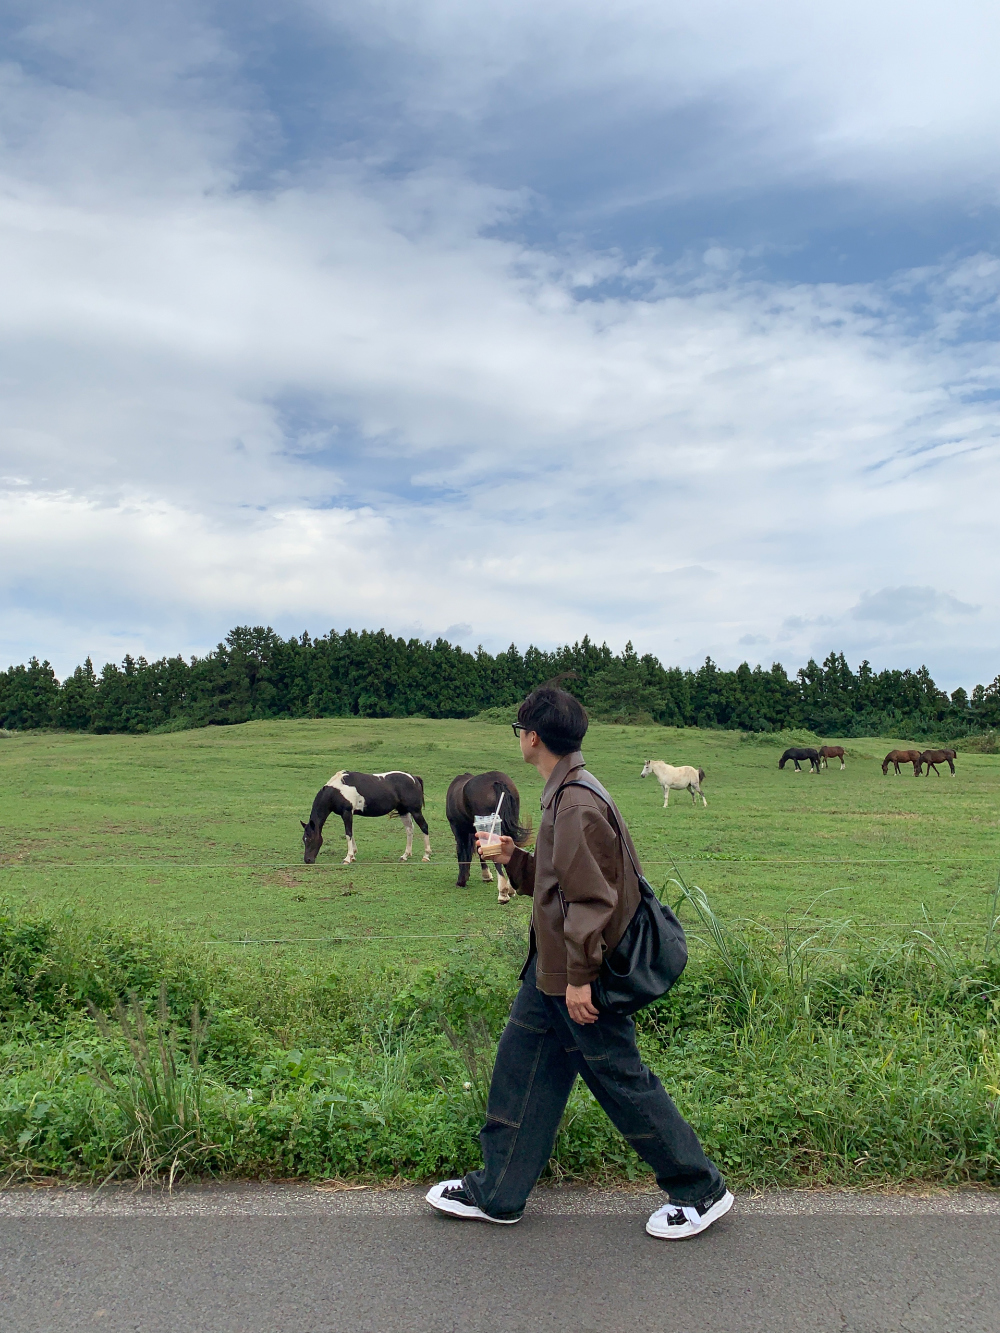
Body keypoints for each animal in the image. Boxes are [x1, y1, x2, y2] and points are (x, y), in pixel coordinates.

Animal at [304, 773, 432, 863]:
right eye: (303, 839)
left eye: (309, 839)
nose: (307, 860)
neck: (337, 790)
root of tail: (414, 778)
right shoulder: (348, 814)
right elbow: (351, 833)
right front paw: (353, 855)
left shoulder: (346, 813)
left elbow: (348, 834)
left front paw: (348, 858)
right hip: (403, 811)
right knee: (409, 830)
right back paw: (405, 856)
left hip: (415, 811)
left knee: (424, 827)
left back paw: (426, 855)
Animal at [445, 773, 533, 906]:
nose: (462, 881)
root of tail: (497, 781)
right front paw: (486, 875)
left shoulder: (457, 828)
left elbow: (462, 852)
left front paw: (461, 880)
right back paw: (511, 889)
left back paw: (503, 893)